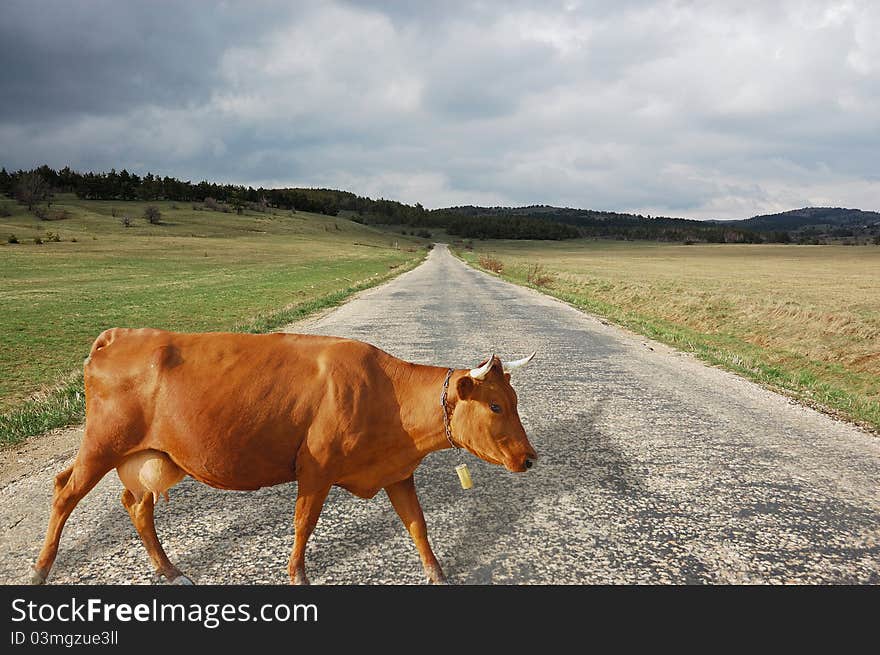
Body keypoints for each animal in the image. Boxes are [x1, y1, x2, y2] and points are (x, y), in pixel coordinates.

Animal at [31, 328, 540, 584]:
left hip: (152, 454)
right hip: (102, 445)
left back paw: (170, 571)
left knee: (137, 506)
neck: (385, 393)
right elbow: (303, 524)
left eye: (514, 401)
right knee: (64, 492)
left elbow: (417, 523)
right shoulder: (315, 469)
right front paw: (297, 575)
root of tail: (120, 334)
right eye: (496, 406)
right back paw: (39, 571)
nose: (531, 458)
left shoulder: (396, 471)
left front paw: (436, 573)